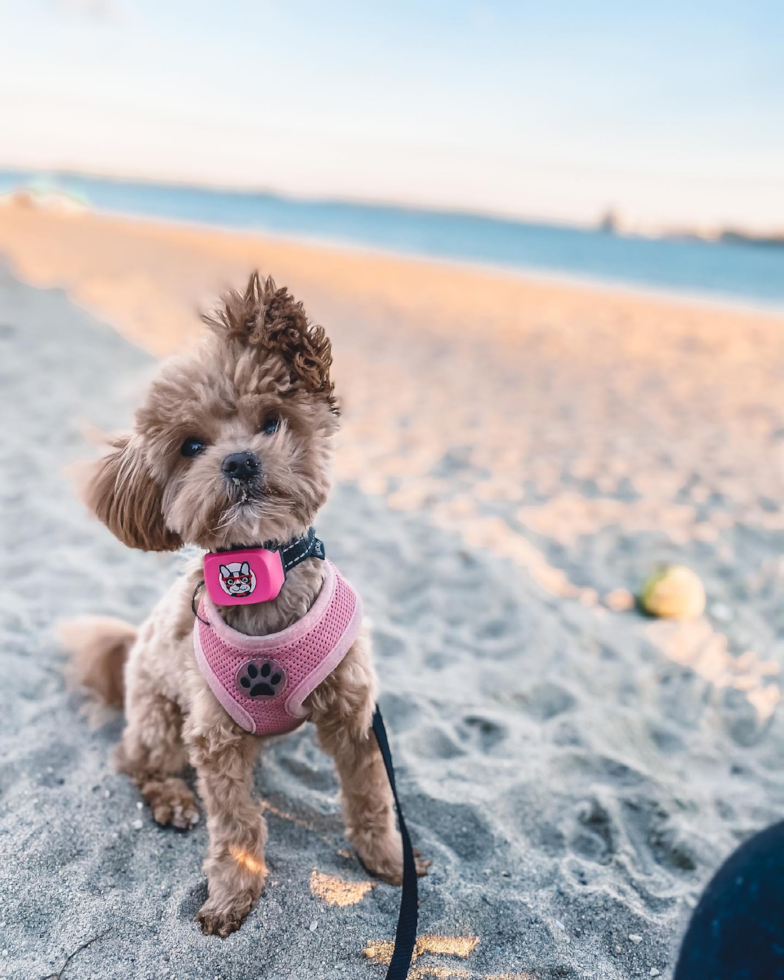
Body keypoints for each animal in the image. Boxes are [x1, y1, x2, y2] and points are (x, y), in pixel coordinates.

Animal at [61, 272, 428, 936]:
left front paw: (389, 860)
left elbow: (370, 796)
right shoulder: (214, 737)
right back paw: (173, 801)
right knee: (136, 762)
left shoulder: (354, 714)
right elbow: (235, 824)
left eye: (271, 422)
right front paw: (232, 895)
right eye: (191, 446)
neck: (261, 578)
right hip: (159, 719)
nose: (238, 461)